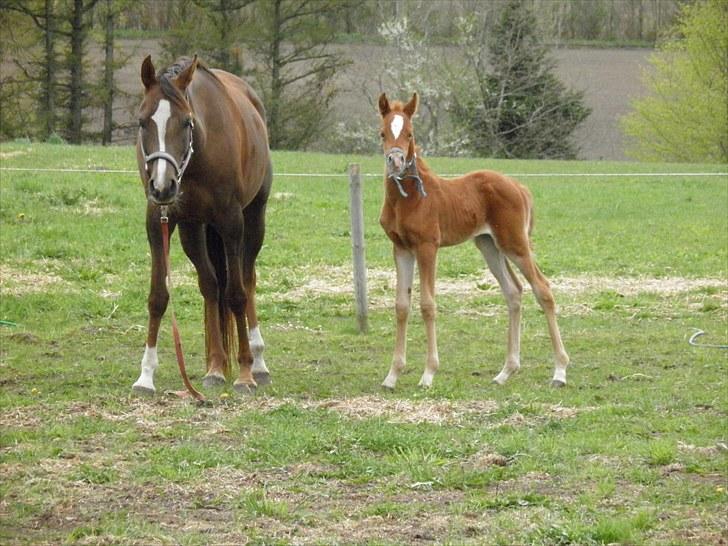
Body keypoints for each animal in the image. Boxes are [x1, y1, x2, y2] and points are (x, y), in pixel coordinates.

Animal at [132, 55, 272, 394]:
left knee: (247, 280)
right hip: (192, 230)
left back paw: (258, 362)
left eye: (186, 122)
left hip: (253, 221)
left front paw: (245, 373)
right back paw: (215, 367)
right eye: (142, 121)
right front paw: (146, 375)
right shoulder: (158, 222)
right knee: (210, 286)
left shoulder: (232, 222)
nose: (162, 186)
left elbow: (236, 295)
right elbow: (158, 297)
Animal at [378, 94, 572, 392]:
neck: (409, 199)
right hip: (489, 245)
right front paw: (392, 375)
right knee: (513, 291)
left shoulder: (427, 247)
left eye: (409, 133)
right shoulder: (400, 248)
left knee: (543, 289)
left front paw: (428, 374)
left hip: (515, 243)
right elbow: (401, 305)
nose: (396, 161)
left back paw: (560, 371)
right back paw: (506, 371)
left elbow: (427, 305)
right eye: (383, 133)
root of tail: (519, 187)